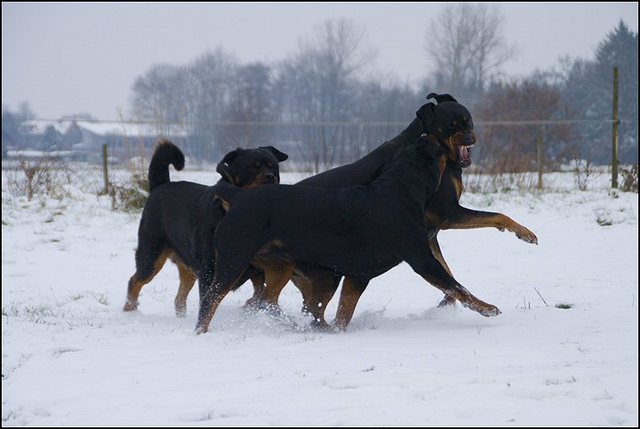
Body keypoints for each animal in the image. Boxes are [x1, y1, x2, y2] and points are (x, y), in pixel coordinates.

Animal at [123, 140, 288, 314]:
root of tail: (160, 186)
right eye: (253, 167)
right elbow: (208, 300)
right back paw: (130, 308)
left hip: (188, 265)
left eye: (273, 167)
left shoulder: (259, 269)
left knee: (180, 297)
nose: (270, 176)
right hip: (151, 253)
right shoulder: (209, 269)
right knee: (136, 280)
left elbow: (261, 293)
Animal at [198, 135, 502, 332]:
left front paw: (337, 330)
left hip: (287, 268)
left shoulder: (358, 275)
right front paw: (487, 308)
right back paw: (202, 332)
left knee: (275, 303)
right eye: (438, 147)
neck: (400, 190)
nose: (428, 134)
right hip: (234, 258)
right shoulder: (421, 259)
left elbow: (345, 311)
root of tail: (238, 197)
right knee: (210, 300)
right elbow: (457, 286)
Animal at [238, 92, 536, 330]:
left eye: (469, 121)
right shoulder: (446, 214)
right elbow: (494, 217)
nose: (471, 137)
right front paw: (524, 233)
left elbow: (446, 270)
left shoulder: (428, 232)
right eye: (451, 125)